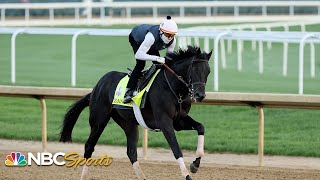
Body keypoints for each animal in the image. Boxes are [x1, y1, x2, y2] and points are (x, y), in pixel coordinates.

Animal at [59, 45, 211, 179]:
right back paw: (84, 175)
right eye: (194, 69)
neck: (174, 89)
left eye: (208, 72)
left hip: (128, 124)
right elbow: (176, 149)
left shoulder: (178, 121)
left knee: (131, 152)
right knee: (89, 146)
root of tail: (96, 87)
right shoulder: (164, 122)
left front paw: (195, 164)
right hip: (98, 121)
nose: (200, 95)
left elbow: (201, 127)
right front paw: (188, 175)